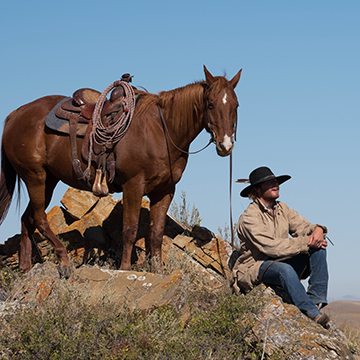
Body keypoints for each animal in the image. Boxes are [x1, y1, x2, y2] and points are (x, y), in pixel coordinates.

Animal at [0, 65, 242, 272]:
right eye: (210, 104)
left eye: (236, 105)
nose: (226, 145)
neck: (161, 130)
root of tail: (14, 115)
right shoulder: (133, 185)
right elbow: (130, 229)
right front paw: (125, 268)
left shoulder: (164, 191)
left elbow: (156, 233)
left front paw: (156, 271)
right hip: (35, 176)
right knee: (39, 218)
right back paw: (64, 260)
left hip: (48, 180)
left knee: (27, 219)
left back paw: (25, 267)